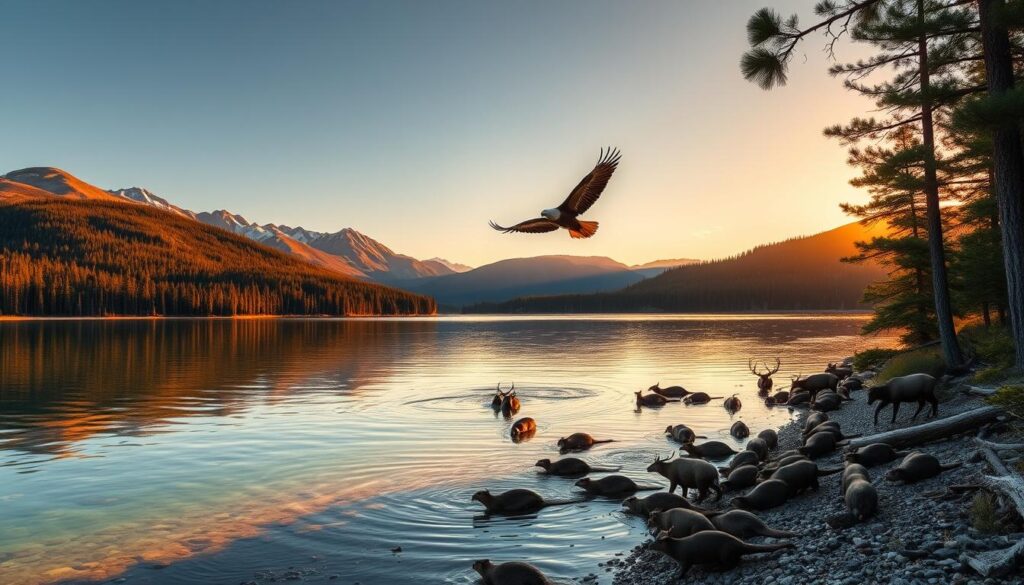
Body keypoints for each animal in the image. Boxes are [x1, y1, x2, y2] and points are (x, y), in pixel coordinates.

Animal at [650, 530, 794, 578]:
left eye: (657, 541)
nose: (649, 546)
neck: (677, 548)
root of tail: (740, 543)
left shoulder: (685, 560)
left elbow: (684, 570)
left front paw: (675, 577)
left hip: (725, 553)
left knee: (733, 564)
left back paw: (716, 568)